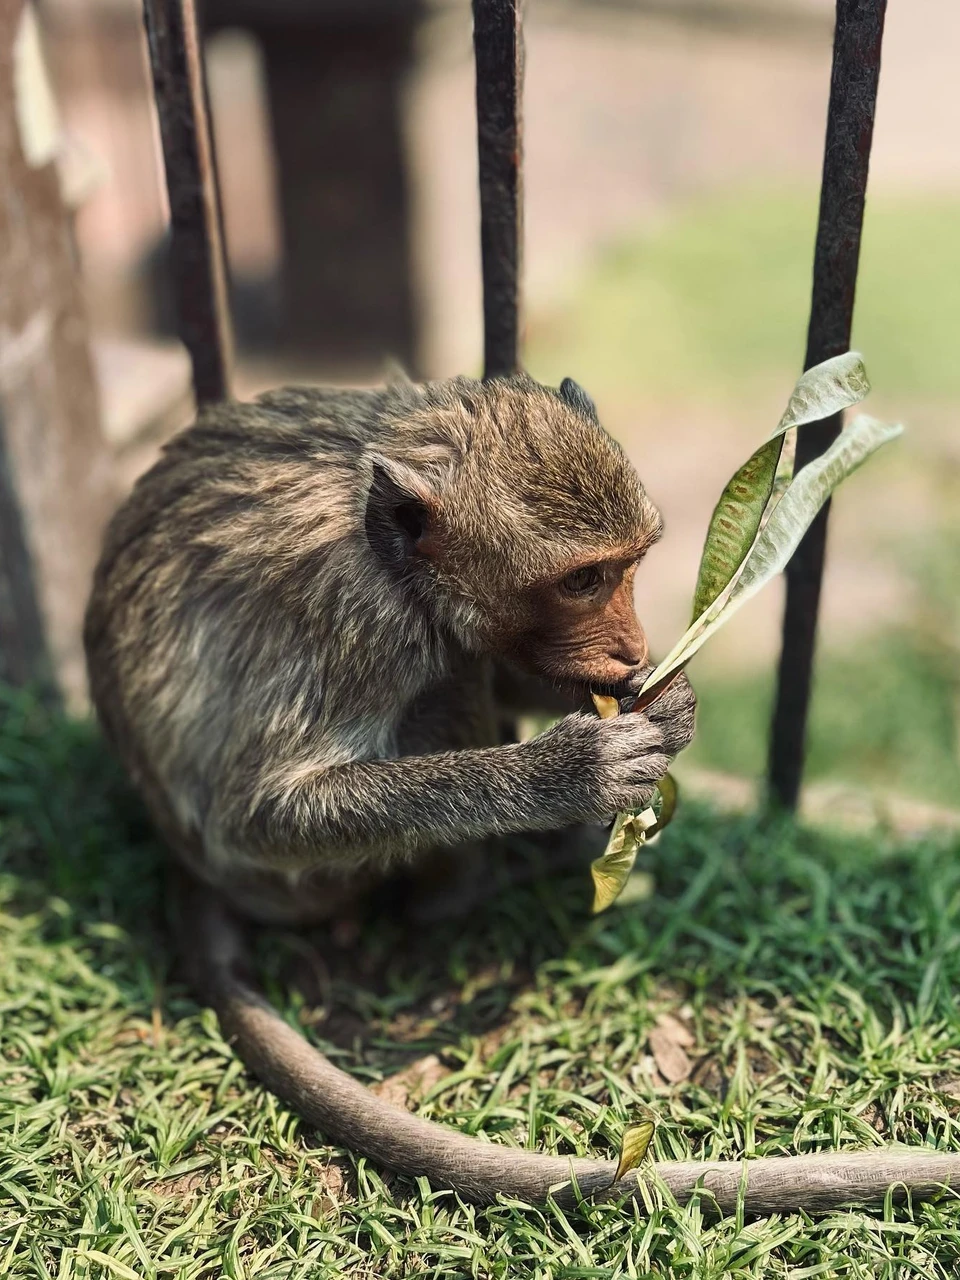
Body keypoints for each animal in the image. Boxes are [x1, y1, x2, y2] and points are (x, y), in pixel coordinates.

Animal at [84, 373, 960, 1213]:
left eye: (627, 566)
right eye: (581, 580)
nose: (634, 646)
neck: (395, 557)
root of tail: (183, 867)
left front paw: (661, 698)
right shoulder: (358, 619)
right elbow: (259, 812)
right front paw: (567, 774)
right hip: (301, 884)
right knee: (443, 687)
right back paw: (481, 883)